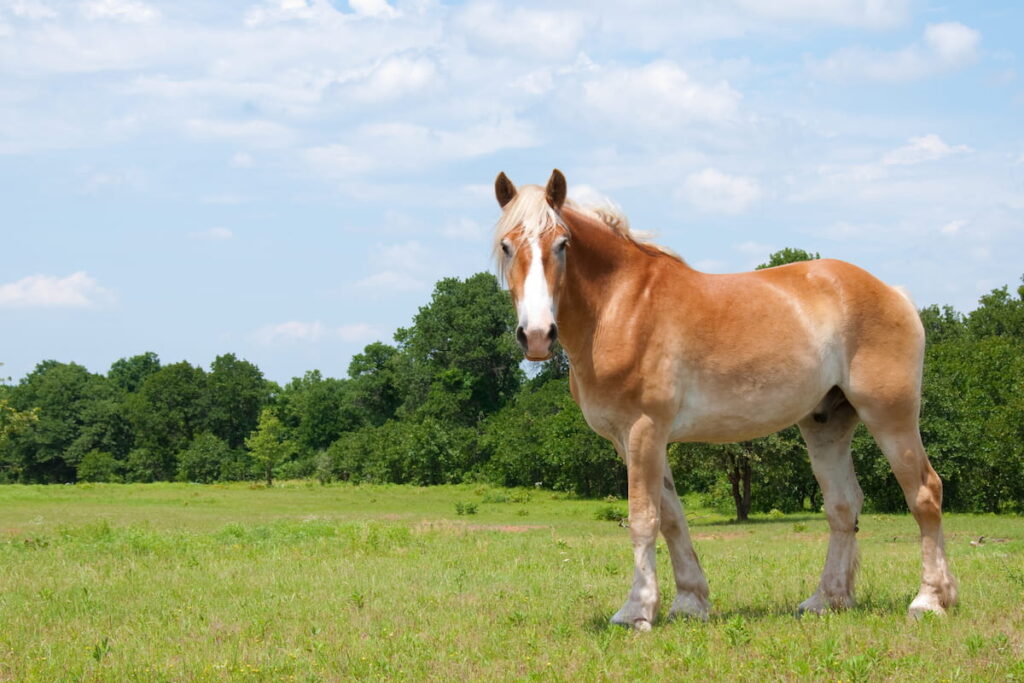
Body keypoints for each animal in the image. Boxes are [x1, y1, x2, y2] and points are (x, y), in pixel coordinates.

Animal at [491, 169, 954, 630]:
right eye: (507, 245)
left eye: (562, 243)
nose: (537, 335)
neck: (621, 306)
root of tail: (893, 293)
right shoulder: (631, 440)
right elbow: (672, 518)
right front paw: (689, 602)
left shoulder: (644, 430)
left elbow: (643, 519)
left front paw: (636, 610)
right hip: (826, 424)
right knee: (843, 506)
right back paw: (826, 599)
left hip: (890, 416)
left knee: (925, 492)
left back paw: (930, 599)